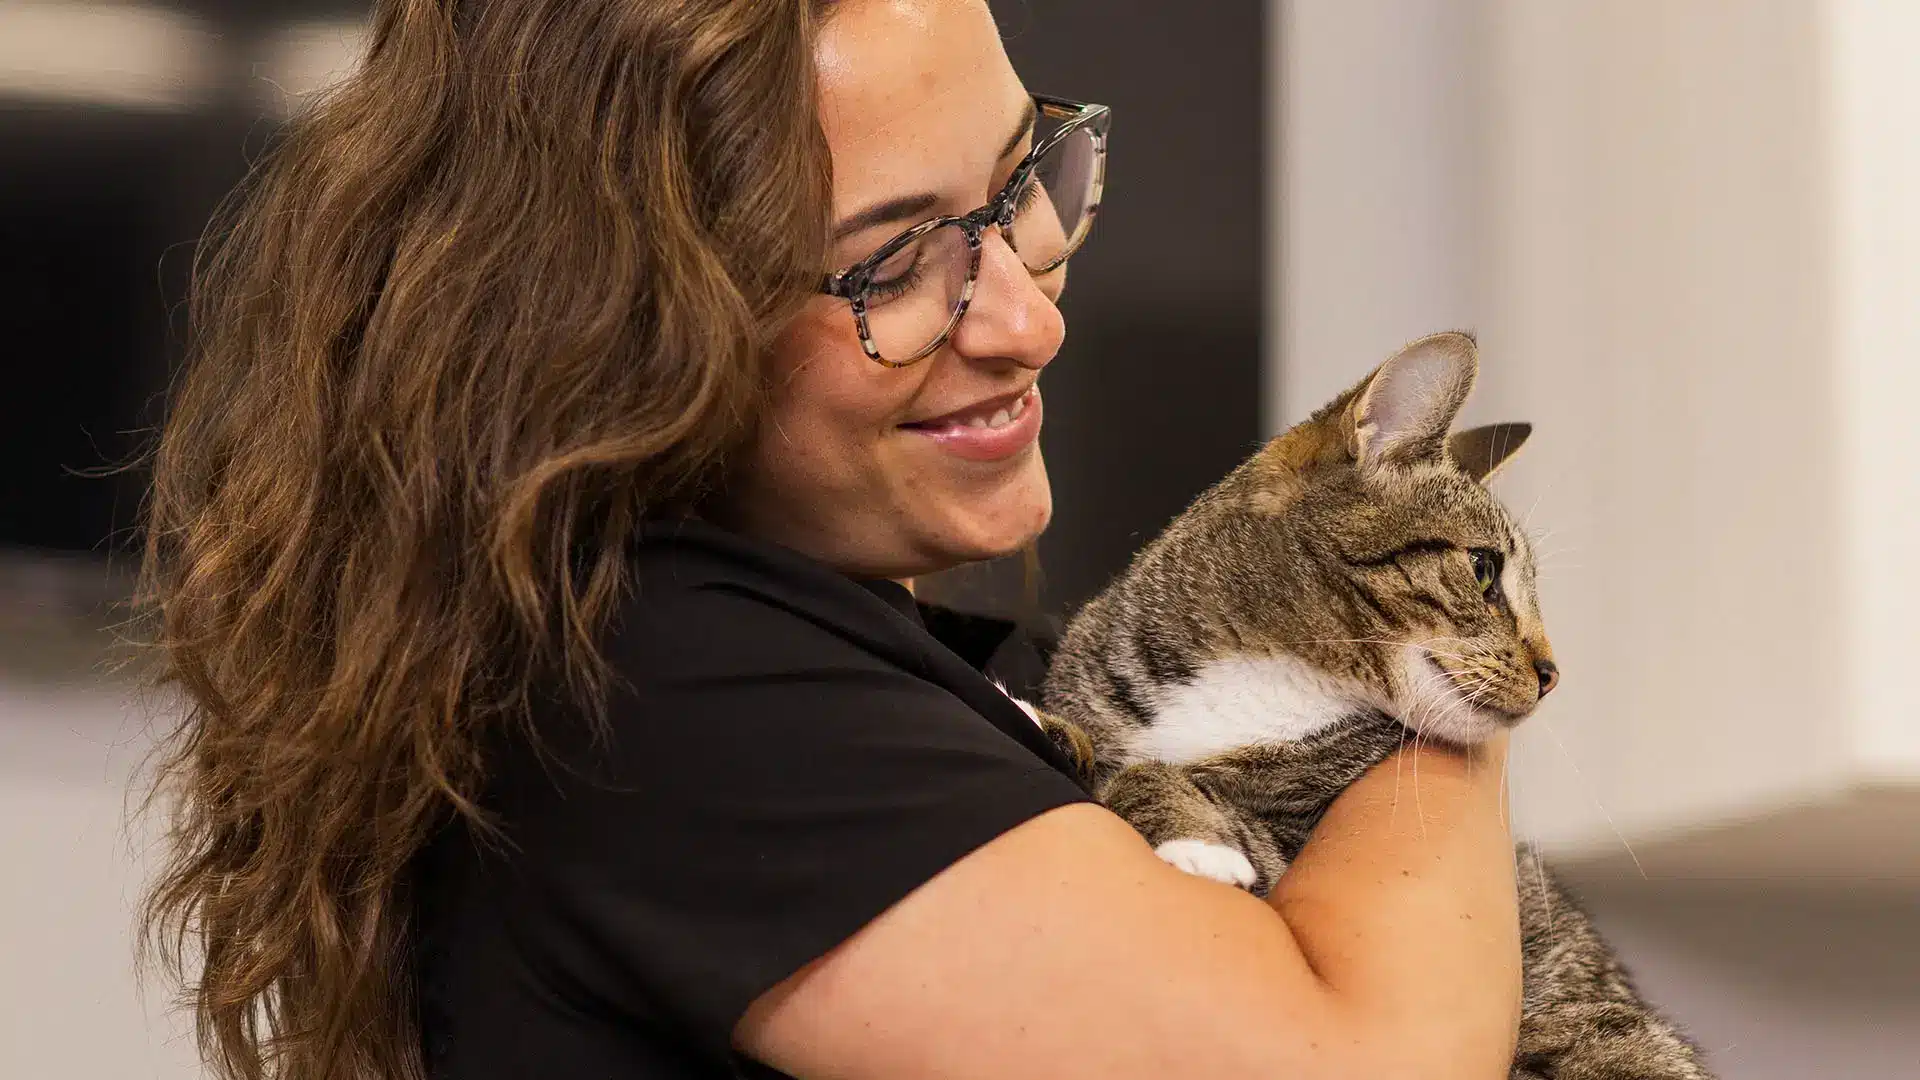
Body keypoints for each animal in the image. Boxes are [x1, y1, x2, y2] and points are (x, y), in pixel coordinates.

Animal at [1036, 332, 1712, 1068]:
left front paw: (1196, 842)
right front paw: (1055, 729)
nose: (1553, 671)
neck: (1258, 674)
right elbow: (1111, 752)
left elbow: (1152, 777)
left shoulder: (1286, 849)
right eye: (1483, 569)